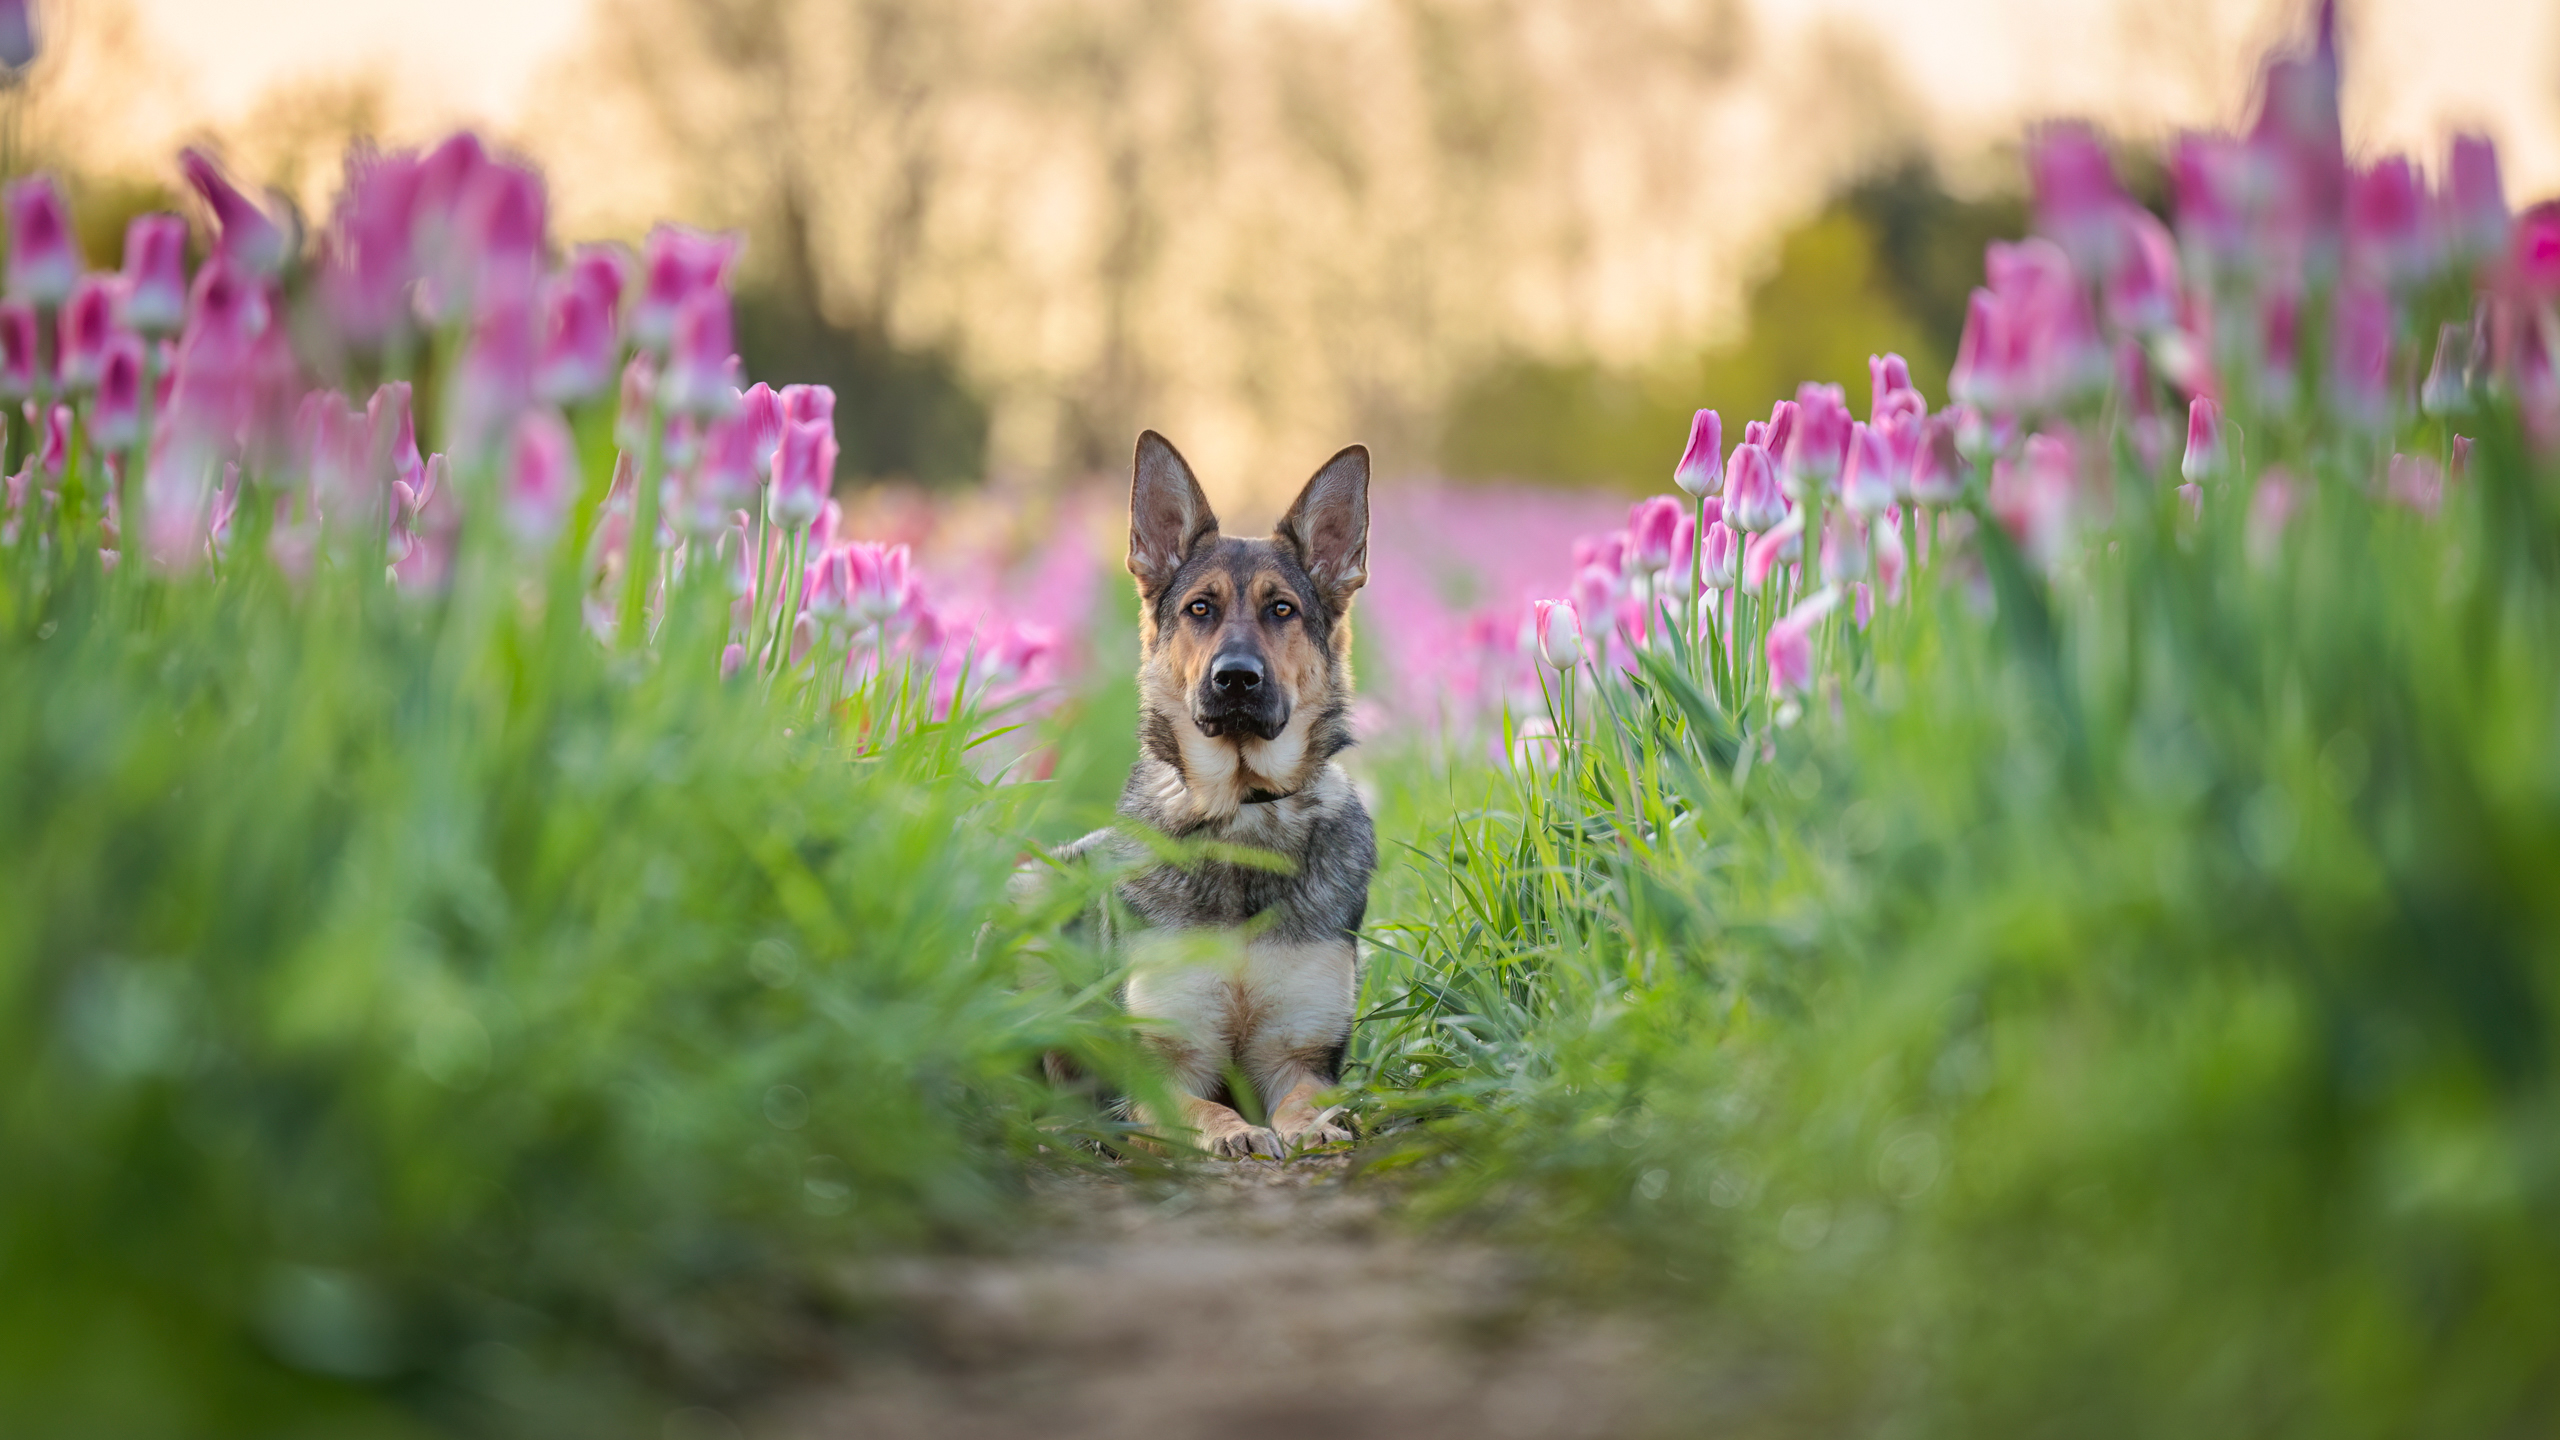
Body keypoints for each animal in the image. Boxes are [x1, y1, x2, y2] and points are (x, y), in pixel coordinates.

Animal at [1044, 425, 1382, 1153]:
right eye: (1201, 608)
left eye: (1282, 609)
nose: (1236, 678)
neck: (1241, 811)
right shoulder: (1164, 1067)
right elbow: (1201, 1109)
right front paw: (1234, 1134)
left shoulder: (1297, 1058)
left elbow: (1305, 1101)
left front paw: (1315, 1126)